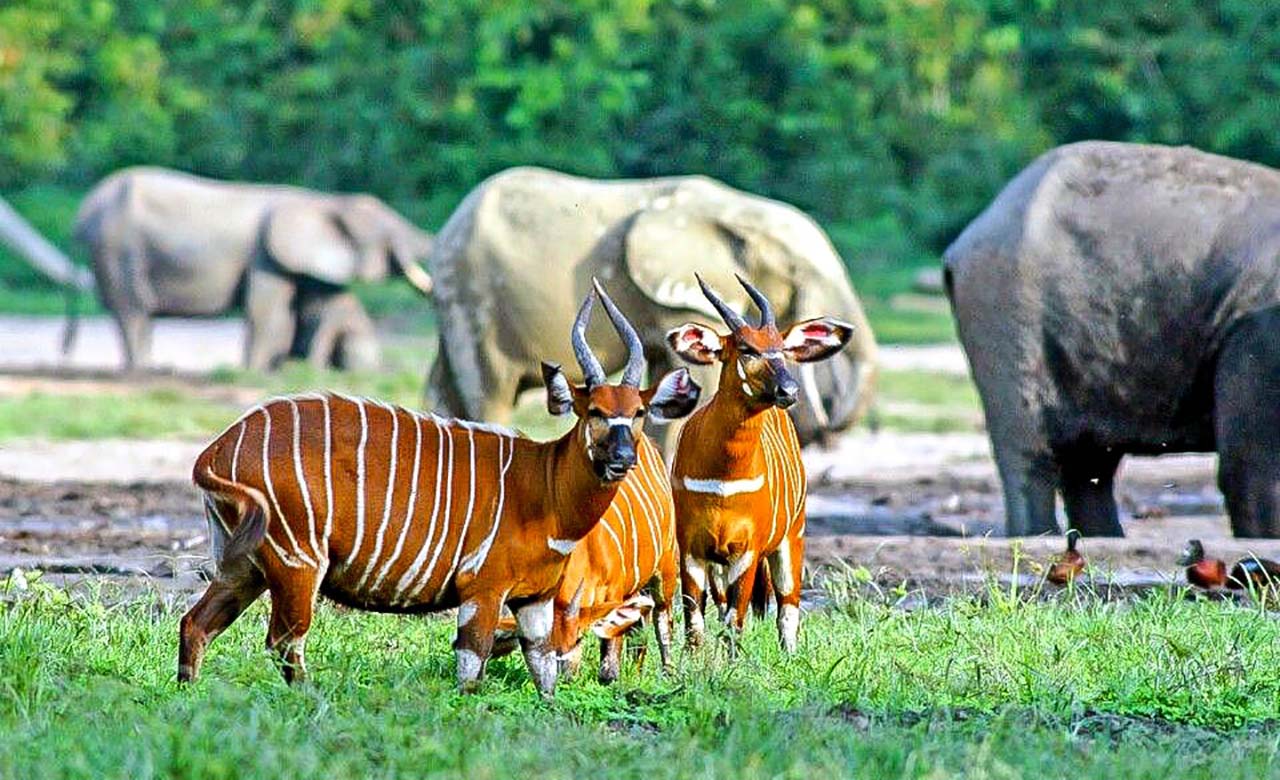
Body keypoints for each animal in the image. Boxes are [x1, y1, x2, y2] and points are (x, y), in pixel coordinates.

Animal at [74, 166, 435, 371]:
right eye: (390, 235)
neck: (322, 200)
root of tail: (84, 211)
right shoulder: (265, 256)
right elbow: (267, 310)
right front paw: (256, 371)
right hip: (116, 248)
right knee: (133, 310)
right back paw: (146, 370)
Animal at [180, 283, 701, 696]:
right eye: (593, 410)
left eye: (637, 411)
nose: (623, 458)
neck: (544, 485)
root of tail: (219, 447)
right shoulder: (483, 591)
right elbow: (472, 671)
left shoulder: (534, 600)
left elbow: (544, 675)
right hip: (297, 563)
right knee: (284, 641)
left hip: (244, 565)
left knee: (196, 624)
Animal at [424, 163, 875, 443]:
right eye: (798, 271)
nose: (824, 425)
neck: (739, 209)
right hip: (473, 299)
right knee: (489, 394)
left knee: (445, 392)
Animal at [665, 274, 855, 650]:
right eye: (746, 349)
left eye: (781, 348)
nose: (789, 391)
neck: (723, 478)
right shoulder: (691, 548)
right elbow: (695, 624)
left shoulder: (747, 550)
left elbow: (735, 621)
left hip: (791, 539)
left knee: (787, 607)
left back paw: (789, 656)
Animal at [947, 142, 1280, 537]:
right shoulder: (1257, 333)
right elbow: (1252, 466)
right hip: (1006, 314)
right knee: (1031, 450)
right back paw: (1038, 536)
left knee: (1089, 464)